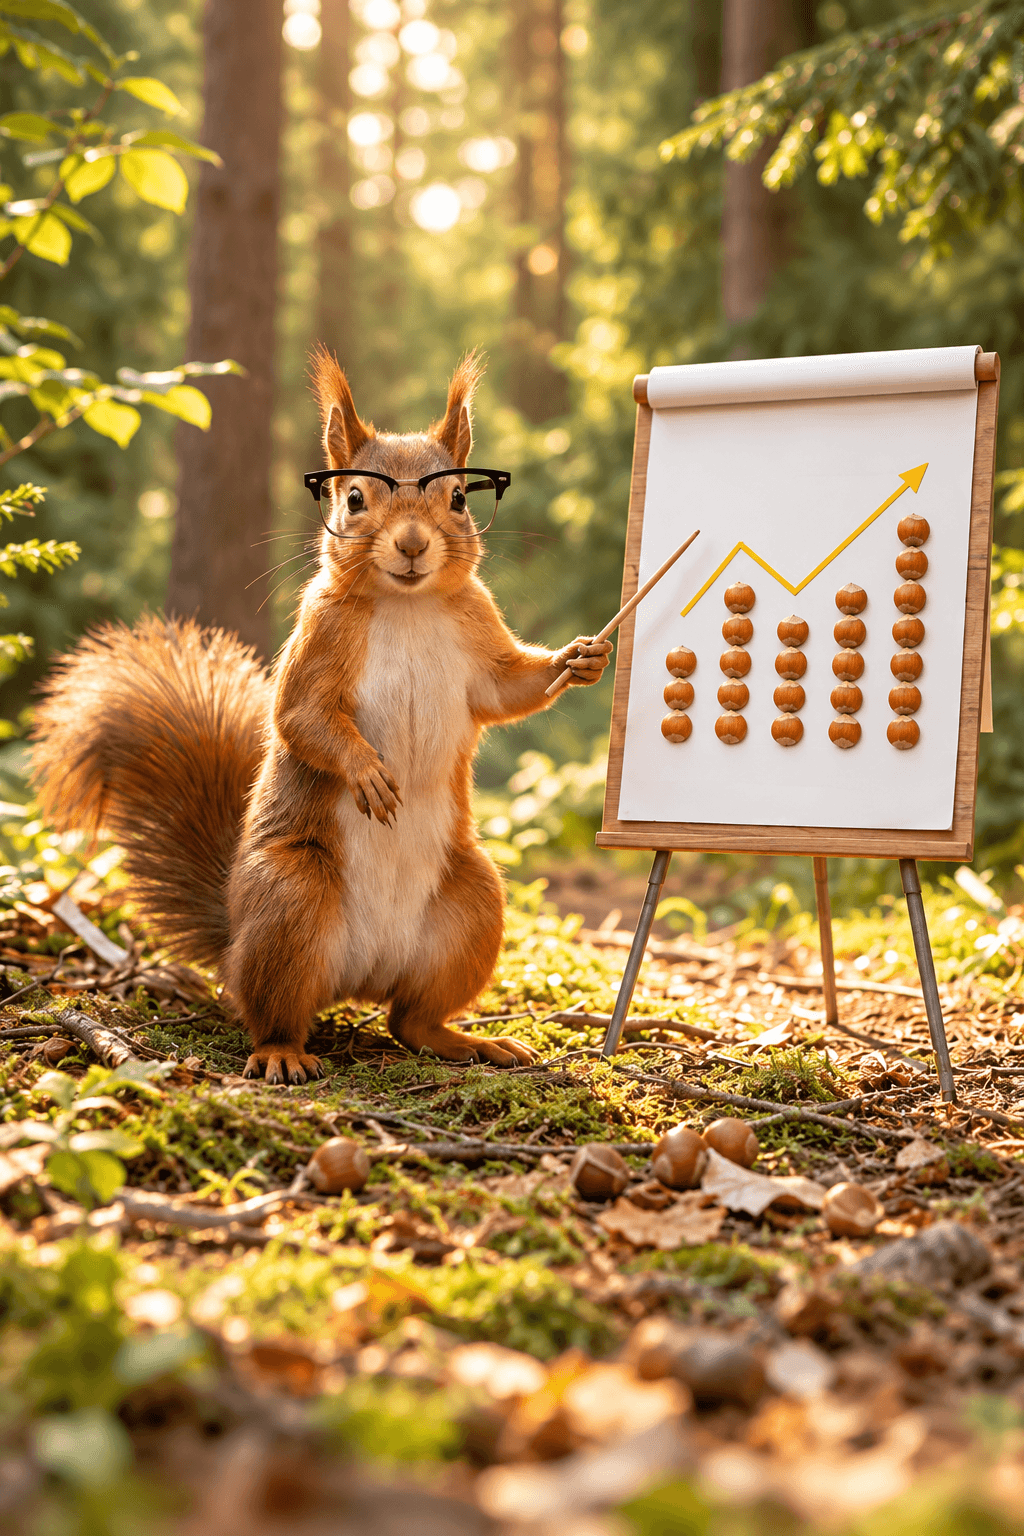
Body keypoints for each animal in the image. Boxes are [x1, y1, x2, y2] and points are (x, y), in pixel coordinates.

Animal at [31, 350, 612, 1083]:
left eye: (458, 498)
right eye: (354, 498)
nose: (413, 544)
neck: (407, 605)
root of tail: (357, 976)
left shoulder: (480, 642)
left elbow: (511, 689)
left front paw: (580, 658)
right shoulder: (316, 640)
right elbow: (301, 718)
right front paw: (367, 774)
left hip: (473, 902)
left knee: (409, 1020)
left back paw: (467, 1041)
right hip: (292, 896)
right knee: (273, 1011)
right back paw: (283, 1053)